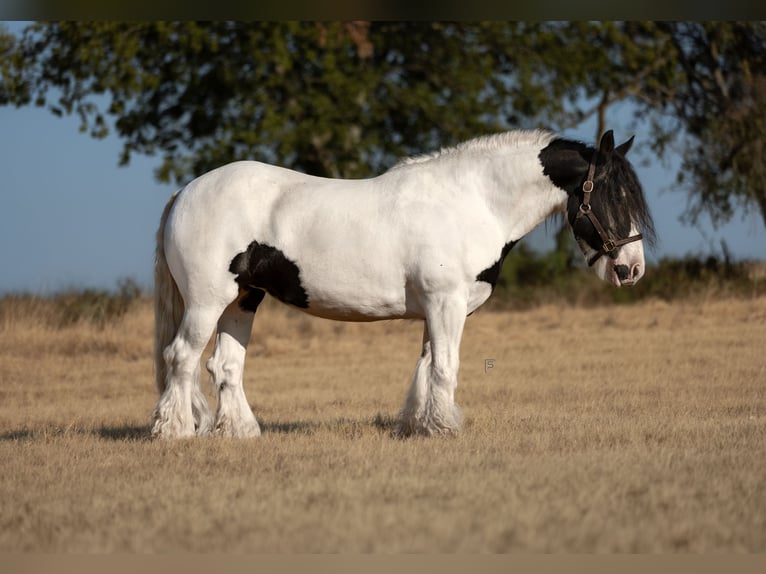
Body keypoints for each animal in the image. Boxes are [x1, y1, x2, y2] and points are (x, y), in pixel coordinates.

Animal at [151, 129, 655, 439]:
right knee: (181, 357)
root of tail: (185, 192)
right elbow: (445, 367)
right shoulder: (446, 302)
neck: (474, 201)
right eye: (611, 193)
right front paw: (446, 428)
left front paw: (420, 425)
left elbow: (426, 366)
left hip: (243, 300)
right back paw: (174, 431)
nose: (631, 269)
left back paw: (242, 432)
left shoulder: (437, 308)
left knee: (224, 366)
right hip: (207, 301)